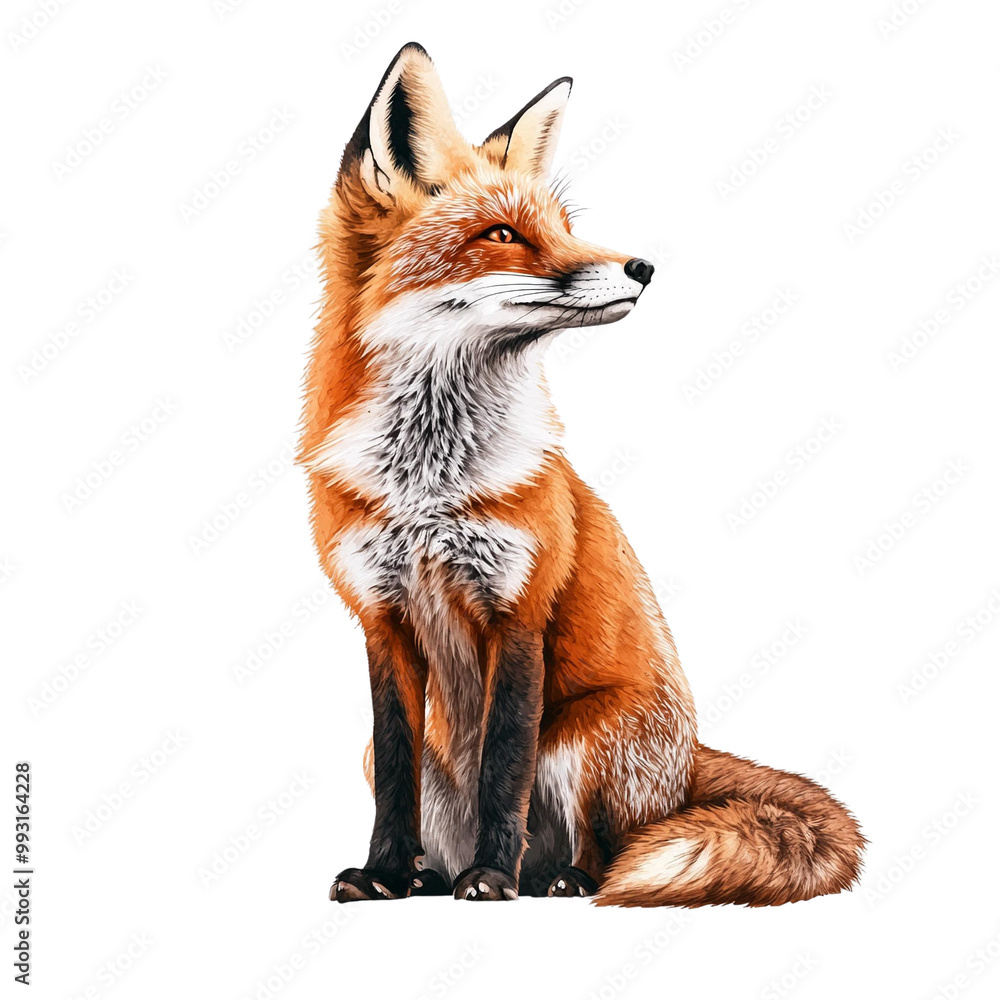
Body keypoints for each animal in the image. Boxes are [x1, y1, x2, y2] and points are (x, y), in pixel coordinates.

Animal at [299, 42, 864, 906]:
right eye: (503, 233)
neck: (429, 484)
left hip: (579, 740)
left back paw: (555, 877)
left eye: (565, 230)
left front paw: (489, 876)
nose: (644, 265)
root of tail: (689, 758)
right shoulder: (381, 619)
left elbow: (503, 766)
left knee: (609, 845)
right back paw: (432, 873)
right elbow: (396, 771)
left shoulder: (519, 610)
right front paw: (386, 873)